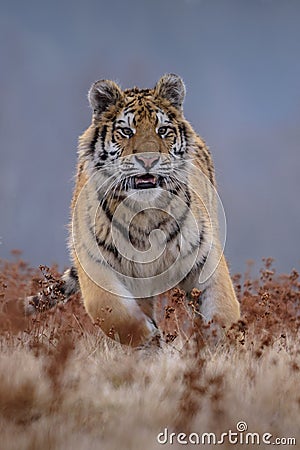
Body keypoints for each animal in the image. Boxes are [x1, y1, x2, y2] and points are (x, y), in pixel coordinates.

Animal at [24, 74, 240, 348]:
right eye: (126, 131)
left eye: (163, 130)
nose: (148, 160)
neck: (145, 213)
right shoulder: (95, 263)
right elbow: (116, 315)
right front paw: (152, 341)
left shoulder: (204, 254)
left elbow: (222, 307)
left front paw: (219, 344)